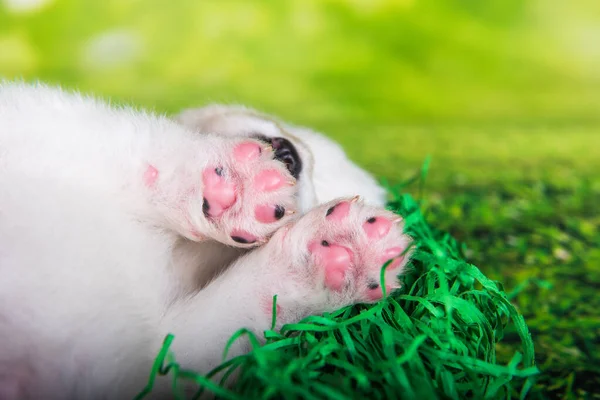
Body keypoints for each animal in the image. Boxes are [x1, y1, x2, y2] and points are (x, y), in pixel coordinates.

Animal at [0, 82, 410, 400]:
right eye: (302, 136)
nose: (287, 153)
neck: (178, 251)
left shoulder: (137, 362)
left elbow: (216, 331)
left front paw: (337, 252)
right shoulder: (35, 119)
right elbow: (132, 141)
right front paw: (228, 181)